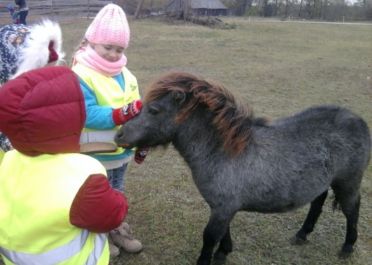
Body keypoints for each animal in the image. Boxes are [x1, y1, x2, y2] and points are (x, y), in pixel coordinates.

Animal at [115, 72, 370, 264]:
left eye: (154, 110)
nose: (119, 136)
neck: (223, 151)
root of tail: (358, 121)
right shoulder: (222, 207)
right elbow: (223, 233)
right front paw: (224, 253)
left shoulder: (223, 208)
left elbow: (210, 237)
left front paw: (211, 258)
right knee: (317, 203)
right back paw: (301, 235)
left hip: (347, 183)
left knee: (352, 209)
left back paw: (347, 248)